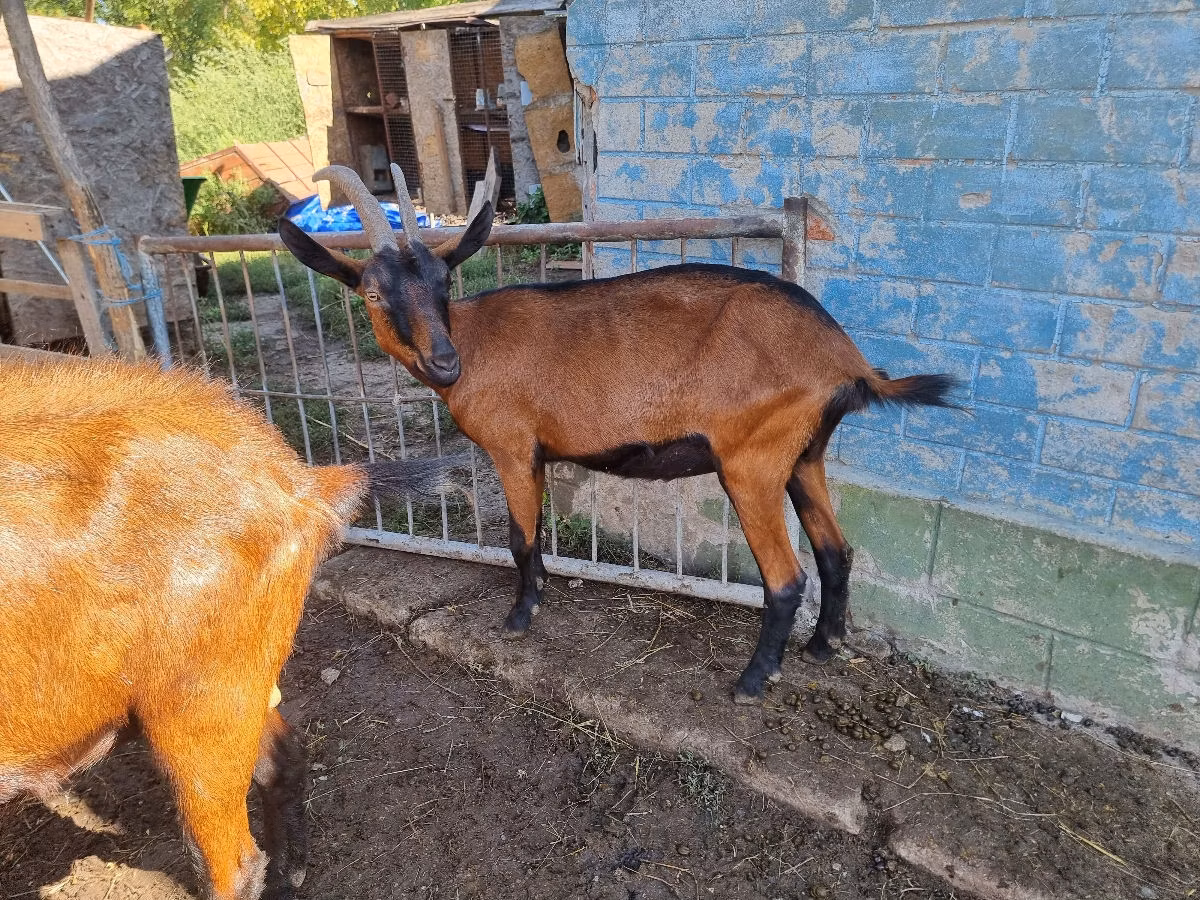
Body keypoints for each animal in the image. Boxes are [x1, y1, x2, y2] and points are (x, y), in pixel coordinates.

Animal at [0, 358, 460, 900]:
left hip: (199, 695)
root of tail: (298, 478)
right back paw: (290, 880)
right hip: (239, 673)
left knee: (233, 862)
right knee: (282, 760)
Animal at [278, 165, 957, 704]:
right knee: (836, 551)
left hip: (752, 462)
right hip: (803, 456)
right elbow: (536, 539)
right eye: (372, 292)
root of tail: (844, 358)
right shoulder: (538, 454)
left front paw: (518, 618)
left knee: (787, 580)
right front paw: (538, 598)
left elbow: (519, 540)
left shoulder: (511, 447)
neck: (474, 337)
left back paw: (751, 681)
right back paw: (822, 647)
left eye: (444, 283)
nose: (445, 362)